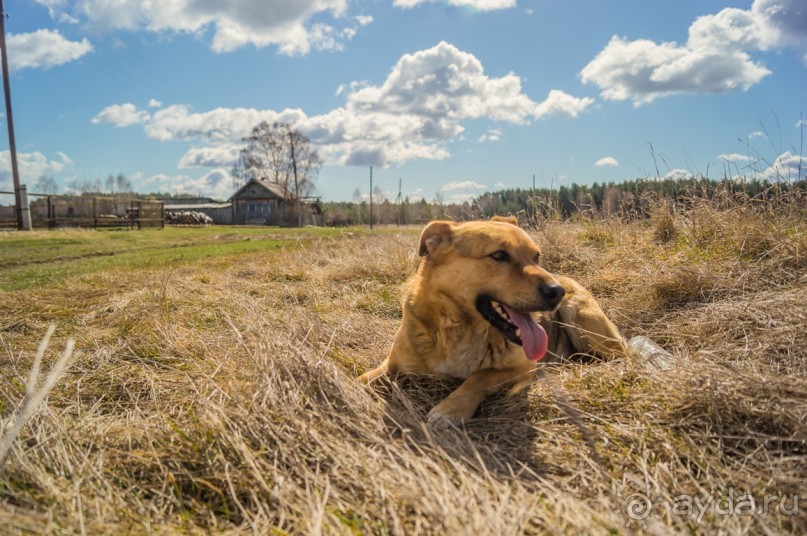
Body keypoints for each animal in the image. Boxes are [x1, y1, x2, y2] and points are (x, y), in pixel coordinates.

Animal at [360, 216, 624, 426]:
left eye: (536, 257)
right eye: (499, 255)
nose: (557, 291)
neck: (457, 328)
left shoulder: (523, 367)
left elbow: (480, 377)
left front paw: (450, 408)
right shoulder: (391, 364)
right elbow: (364, 379)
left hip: (582, 320)